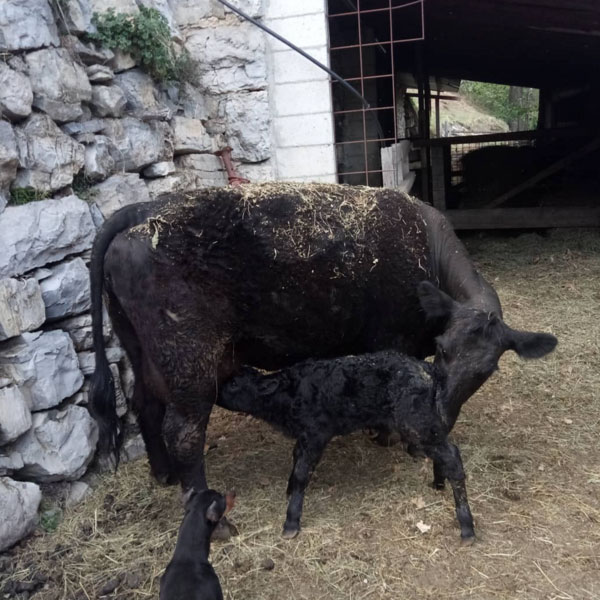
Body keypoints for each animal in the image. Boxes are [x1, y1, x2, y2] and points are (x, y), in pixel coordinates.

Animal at [89, 183, 556, 506]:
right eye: (442, 350)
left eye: (487, 370)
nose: (442, 415)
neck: (426, 246)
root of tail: (145, 209)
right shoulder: (393, 342)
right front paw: (395, 438)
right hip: (189, 361)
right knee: (183, 432)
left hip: (144, 353)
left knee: (145, 406)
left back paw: (163, 474)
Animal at [217, 282, 556, 542]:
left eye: (232, 383)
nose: (215, 387)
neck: (289, 393)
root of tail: (427, 372)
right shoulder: (303, 436)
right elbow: (294, 464)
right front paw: (288, 492)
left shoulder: (316, 432)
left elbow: (302, 474)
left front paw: (291, 521)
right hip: (425, 425)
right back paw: (438, 484)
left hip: (416, 423)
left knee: (453, 457)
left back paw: (466, 526)